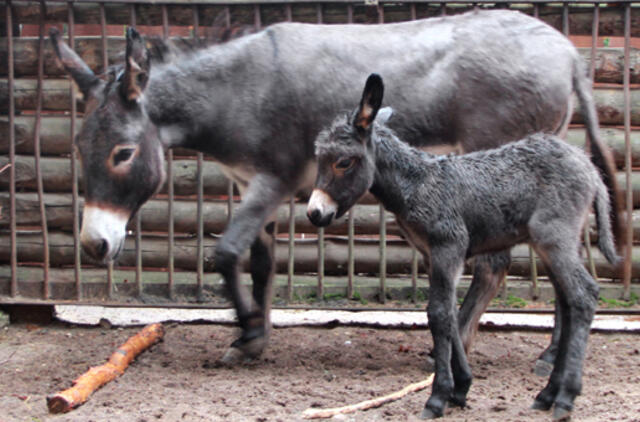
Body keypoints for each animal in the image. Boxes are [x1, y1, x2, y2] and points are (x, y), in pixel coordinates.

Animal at [308, 75, 624, 418]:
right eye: (319, 159)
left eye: (342, 162)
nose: (315, 213)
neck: (417, 184)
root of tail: (589, 166)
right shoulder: (432, 256)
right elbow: (448, 312)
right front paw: (461, 388)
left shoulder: (449, 247)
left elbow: (438, 314)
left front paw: (438, 396)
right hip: (551, 244)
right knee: (567, 301)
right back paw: (547, 393)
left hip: (555, 238)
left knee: (584, 295)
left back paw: (565, 397)